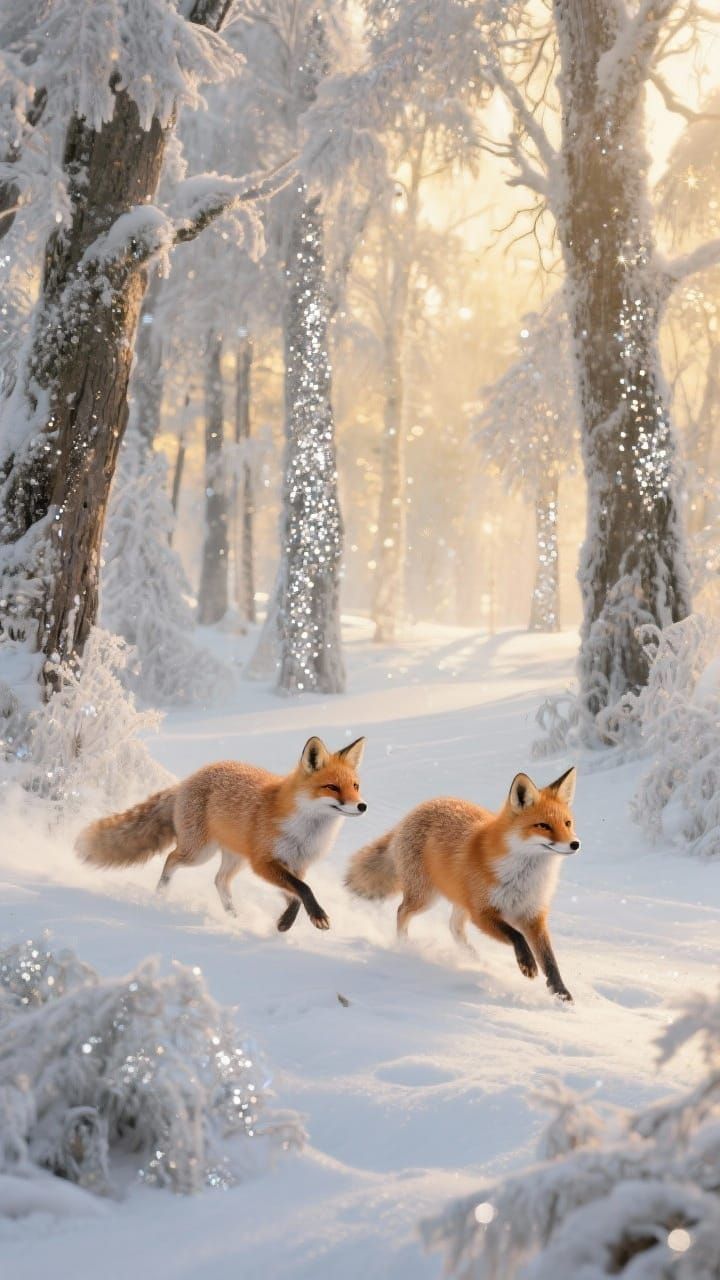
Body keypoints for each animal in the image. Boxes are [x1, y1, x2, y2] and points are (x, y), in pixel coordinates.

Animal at [77, 736, 367, 932]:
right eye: (332, 787)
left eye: (355, 786)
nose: (362, 806)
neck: (305, 833)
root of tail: (186, 781)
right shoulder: (263, 862)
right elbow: (303, 889)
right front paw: (315, 916)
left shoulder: (296, 864)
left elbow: (297, 895)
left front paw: (285, 923)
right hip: (199, 853)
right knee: (171, 858)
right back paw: (161, 893)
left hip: (234, 858)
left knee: (219, 881)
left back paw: (232, 915)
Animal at [345, 768, 580, 1001]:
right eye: (543, 826)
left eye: (567, 824)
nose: (575, 844)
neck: (523, 878)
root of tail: (416, 810)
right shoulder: (482, 912)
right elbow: (516, 935)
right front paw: (527, 965)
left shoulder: (533, 915)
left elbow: (550, 961)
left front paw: (561, 994)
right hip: (426, 898)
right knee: (402, 911)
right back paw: (404, 945)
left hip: (459, 900)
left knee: (453, 926)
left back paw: (472, 958)